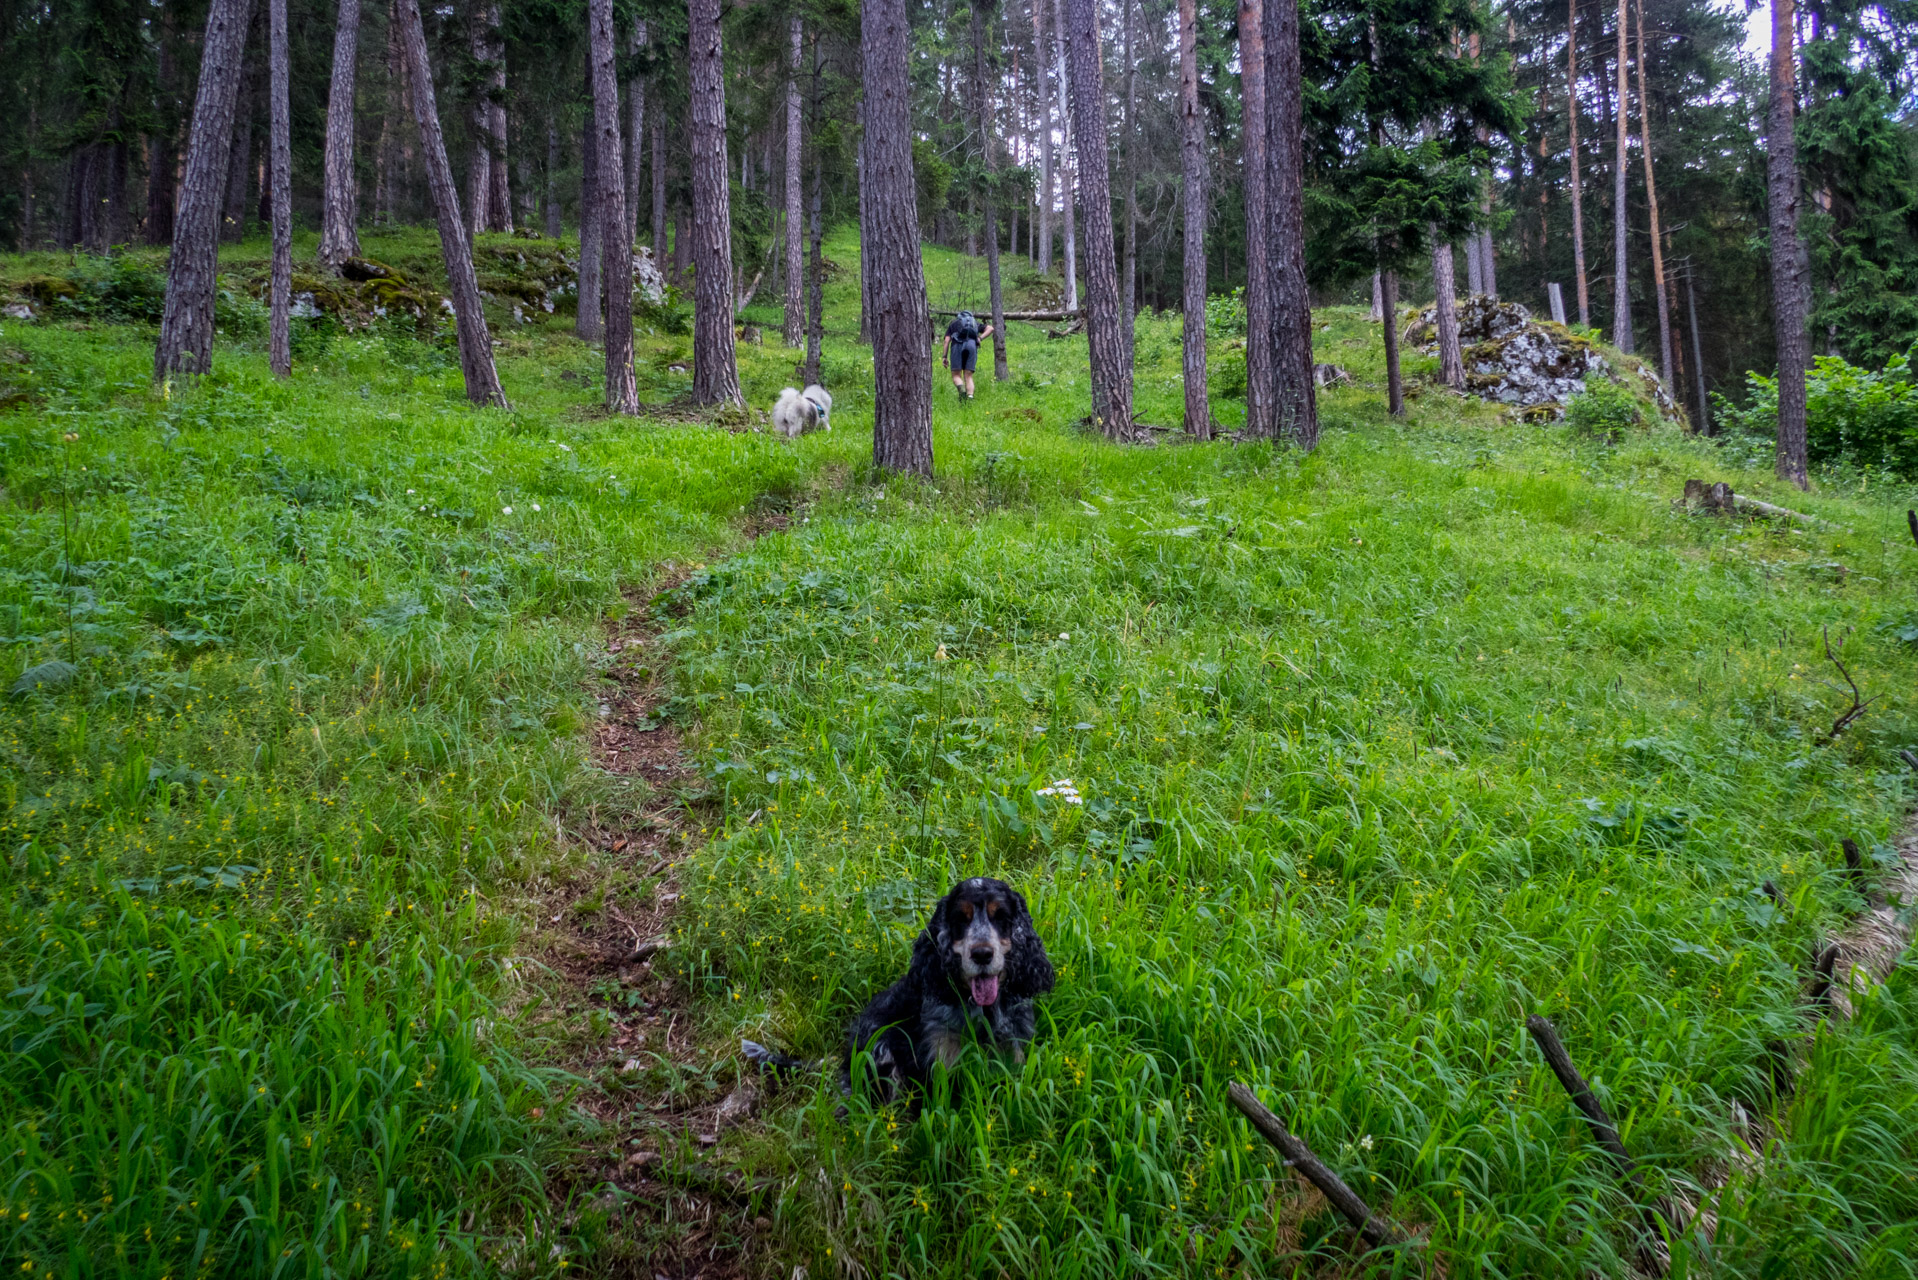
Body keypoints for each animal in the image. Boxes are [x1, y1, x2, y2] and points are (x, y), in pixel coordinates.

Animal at [740, 875, 1058, 1105]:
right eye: (961, 919)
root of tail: (842, 1058)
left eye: (1001, 917)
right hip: (881, 1048)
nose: (981, 954)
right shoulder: (942, 1052)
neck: (982, 1009)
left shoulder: (1014, 1045)